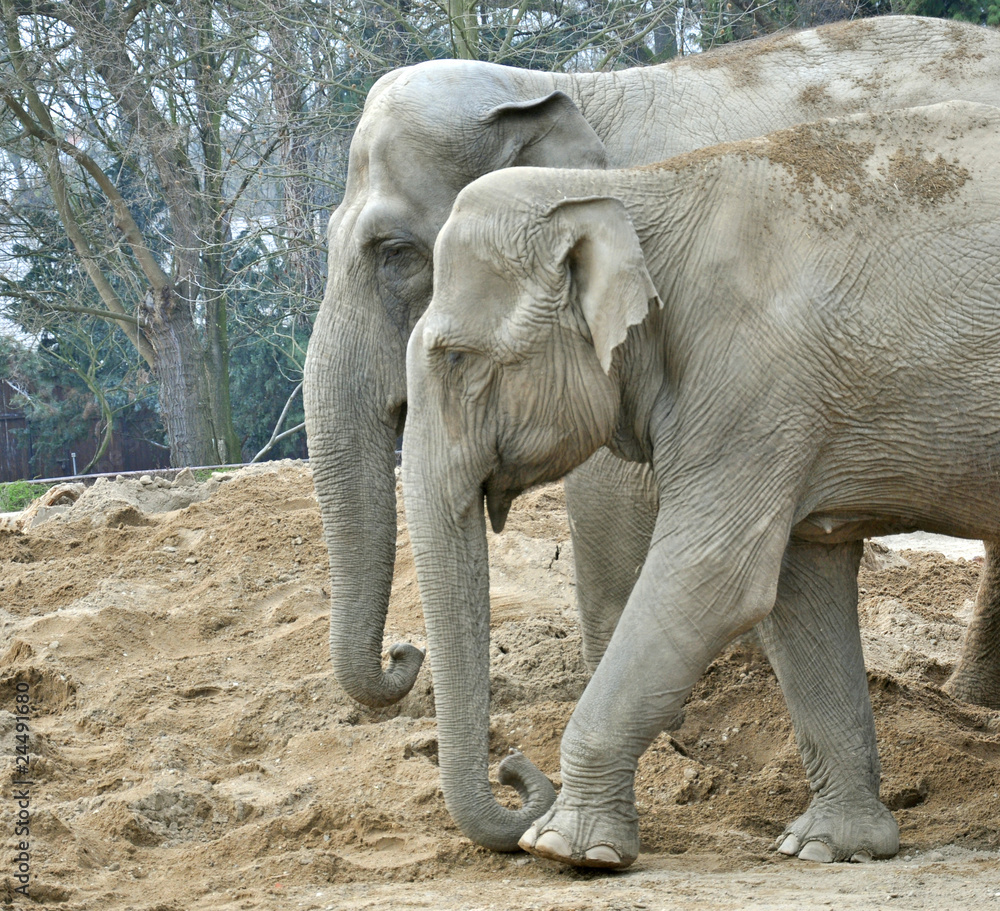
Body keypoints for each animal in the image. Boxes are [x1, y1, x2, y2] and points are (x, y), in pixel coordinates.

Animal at [303, 15, 1000, 855]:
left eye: (396, 253)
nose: (403, 653)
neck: (556, 85)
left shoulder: (745, 375)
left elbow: (678, 546)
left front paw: (575, 833)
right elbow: (795, 573)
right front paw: (825, 844)